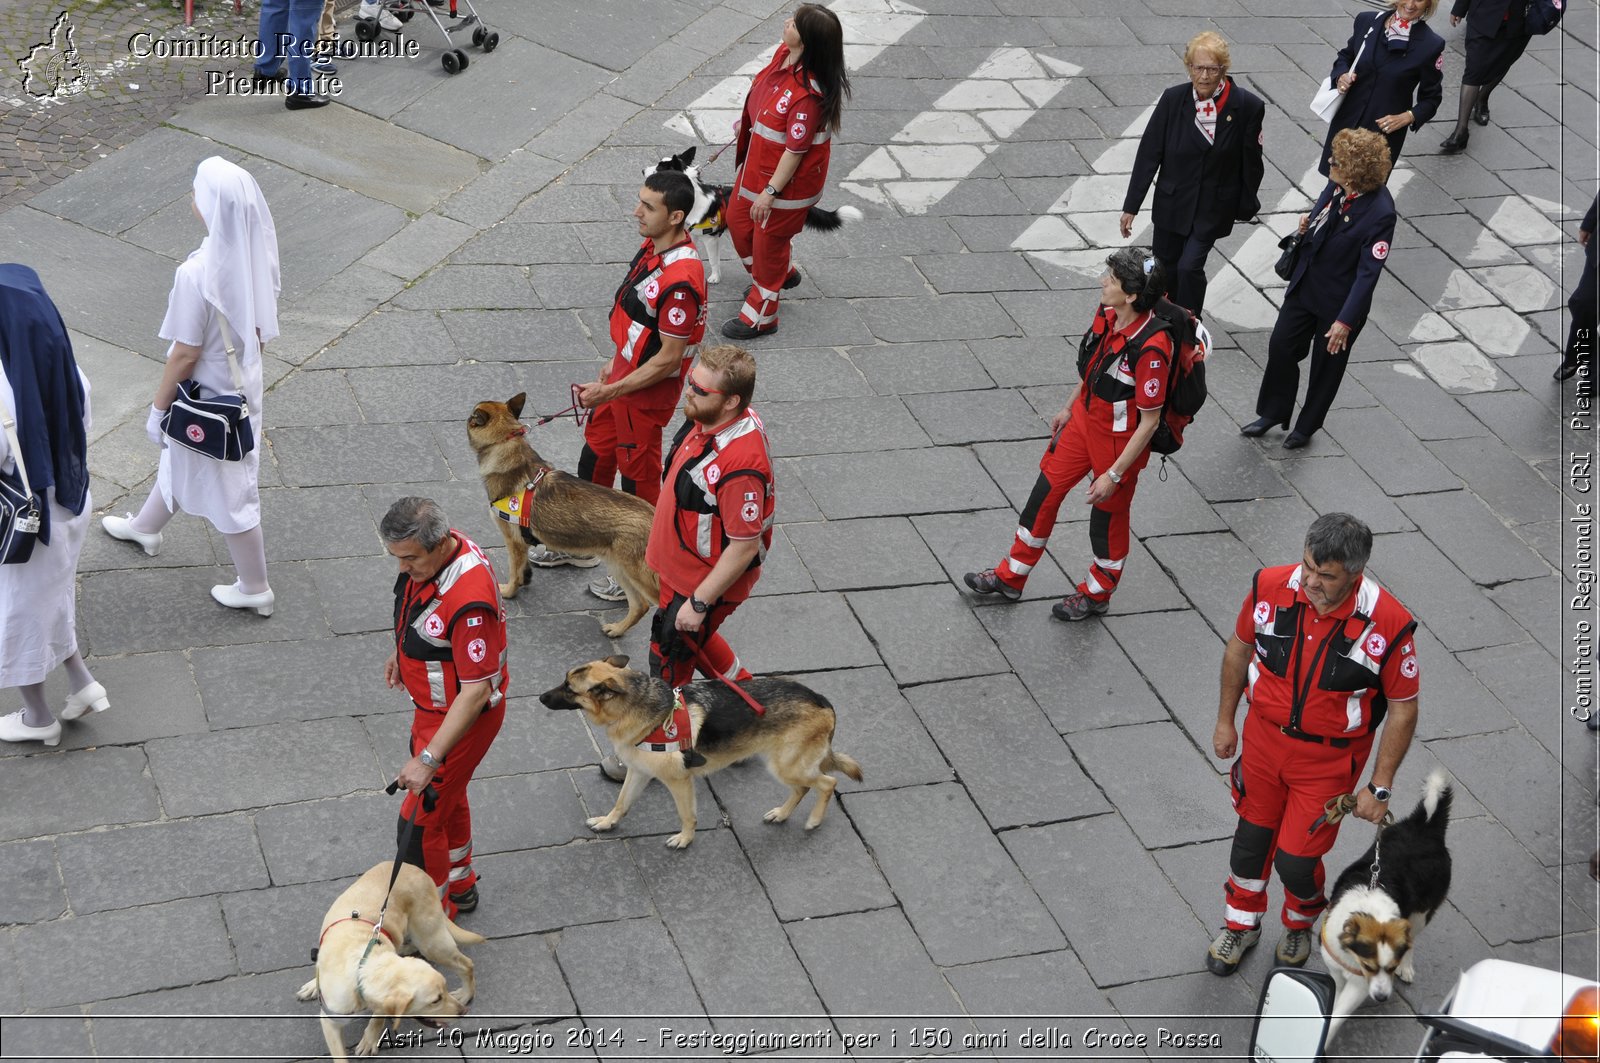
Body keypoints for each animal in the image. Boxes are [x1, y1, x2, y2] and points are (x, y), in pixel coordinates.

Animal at [467, 393, 656, 633]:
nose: (468, 416)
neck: (506, 443)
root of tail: (654, 515)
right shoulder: (522, 543)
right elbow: (522, 570)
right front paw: (525, 580)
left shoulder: (513, 542)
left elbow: (513, 572)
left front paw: (509, 592)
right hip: (618, 567)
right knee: (640, 606)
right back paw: (617, 629)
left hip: (636, 574)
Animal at [537, 653, 864, 851]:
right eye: (564, 680)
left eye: (569, 688)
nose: (539, 697)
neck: (638, 704)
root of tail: (821, 700)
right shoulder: (638, 773)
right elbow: (621, 803)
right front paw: (607, 823)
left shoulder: (680, 782)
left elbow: (687, 815)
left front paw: (685, 839)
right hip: (781, 765)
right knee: (802, 789)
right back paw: (781, 815)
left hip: (786, 766)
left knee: (827, 783)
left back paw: (814, 820)